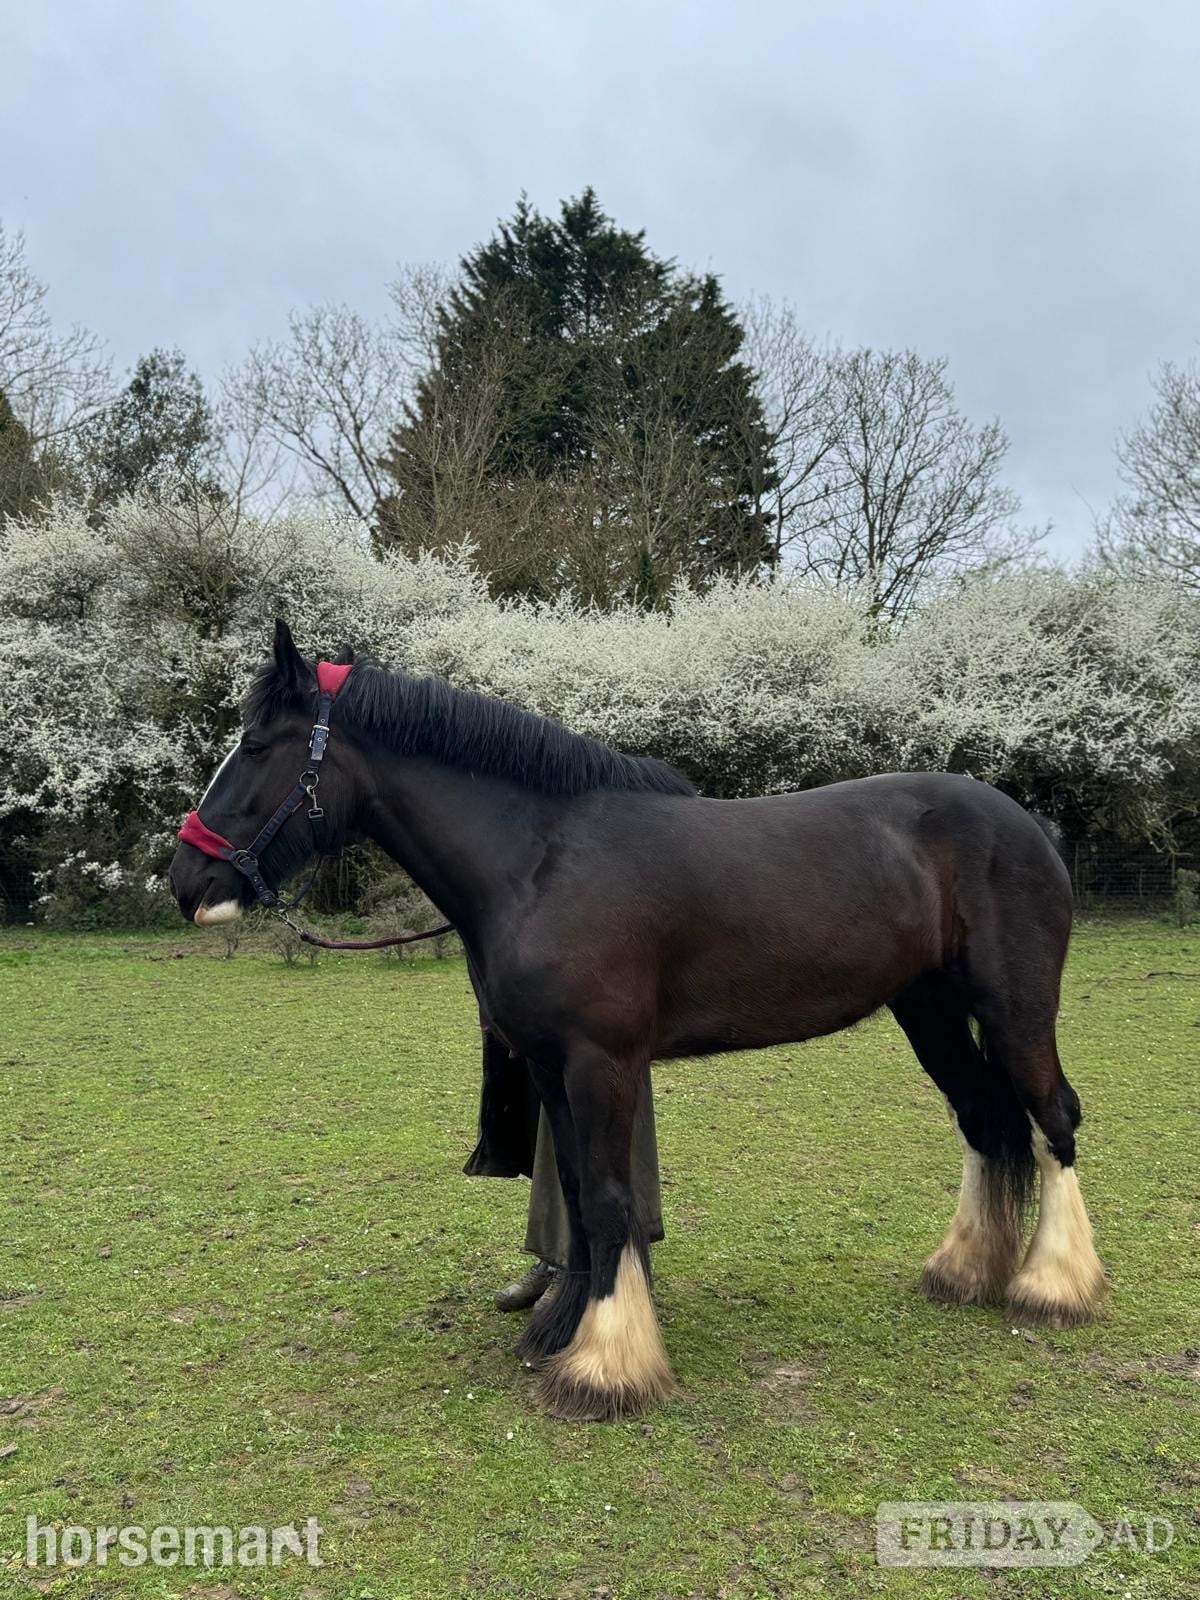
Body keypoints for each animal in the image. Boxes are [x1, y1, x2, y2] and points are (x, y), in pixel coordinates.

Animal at [167, 621, 1107, 1421]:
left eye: (256, 747)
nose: (185, 881)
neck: (540, 859)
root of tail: (1024, 823)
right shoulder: (551, 1067)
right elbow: (580, 1195)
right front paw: (561, 1327)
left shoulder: (602, 1062)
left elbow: (613, 1199)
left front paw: (605, 1365)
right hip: (930, 1012)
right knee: (987, 1121)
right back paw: (965, 1271)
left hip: (1015, 1010)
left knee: (1052, 1117)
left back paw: (1053, 1286)